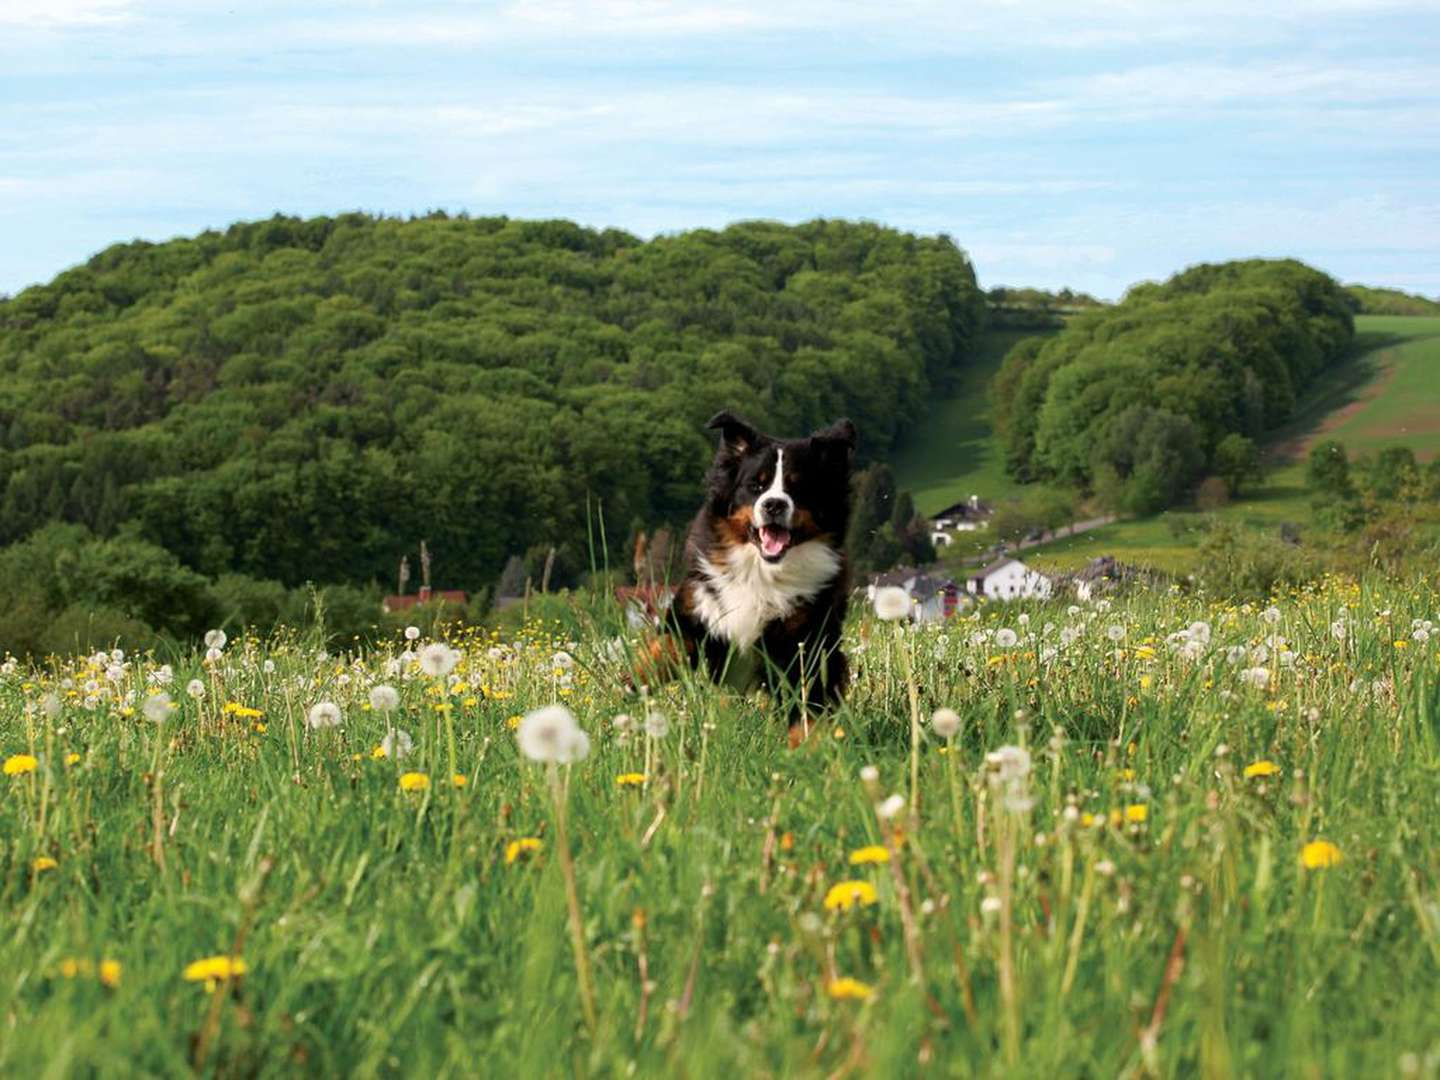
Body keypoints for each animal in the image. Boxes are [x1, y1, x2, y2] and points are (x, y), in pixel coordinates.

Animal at [662, 408, 852, 748]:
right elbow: (660, 648)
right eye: (756, 486)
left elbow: (806, 703)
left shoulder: (803, 639)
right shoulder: (698, 603)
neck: (761, 571)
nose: (774, 504)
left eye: (798, 487)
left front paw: (807, 749)